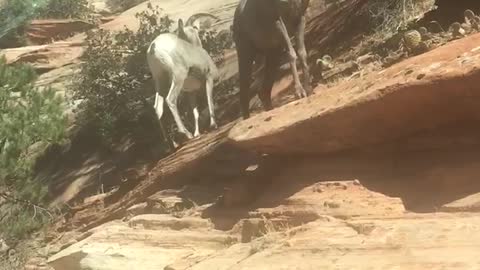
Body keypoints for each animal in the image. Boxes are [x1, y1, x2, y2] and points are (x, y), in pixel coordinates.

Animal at [147, 13, 220, 147]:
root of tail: (153, 48)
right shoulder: (209, 78)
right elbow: (210, 101)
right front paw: (213, 125)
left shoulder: (190, 92)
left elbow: (195, 112)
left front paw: (198, 134)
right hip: (178, 77)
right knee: (170, 100)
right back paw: (187, 134)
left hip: (160, 82)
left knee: (157, 108)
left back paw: (172, 144)